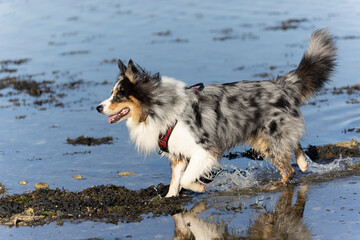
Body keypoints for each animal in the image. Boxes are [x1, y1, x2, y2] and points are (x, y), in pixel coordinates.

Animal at [97, 29, 336, 197]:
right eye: (111, 93)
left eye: (119, 95)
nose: (98, 107)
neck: (158, 107)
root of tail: (280, 85)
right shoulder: (178, 154)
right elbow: (175, 181)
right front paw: (169, 199)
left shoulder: (204, 150)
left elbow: (185, 179)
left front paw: (199, 187)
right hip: (263, 138)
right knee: (295, 146)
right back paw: (303, 163)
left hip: (270, 139)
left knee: (288, 170)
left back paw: (278, 184)